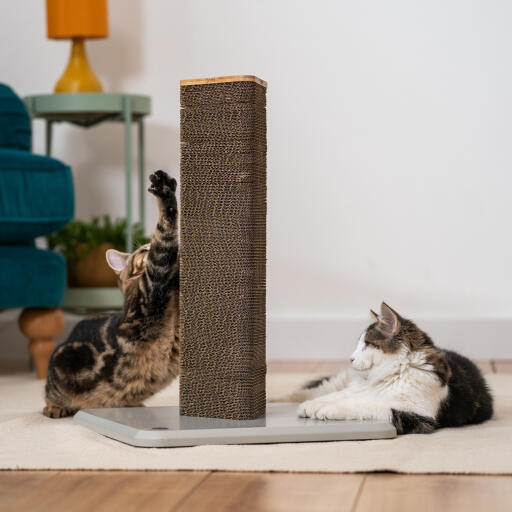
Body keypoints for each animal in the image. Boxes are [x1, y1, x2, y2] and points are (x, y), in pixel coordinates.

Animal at [44, 170, 180, 418]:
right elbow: (165, 230)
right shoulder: (152, 284)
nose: (146, 247)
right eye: (144, 250)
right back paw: (55, 408)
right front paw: (164, 191)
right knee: (47, 396)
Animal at [288, 302, 492, 434]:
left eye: (366, 345)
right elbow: (337, 396)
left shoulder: (414, 415)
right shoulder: (357, 389)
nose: (351, 358)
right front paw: (312, 405)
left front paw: (328, 410)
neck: (393, 373)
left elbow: (363, 405)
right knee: (319, 389)